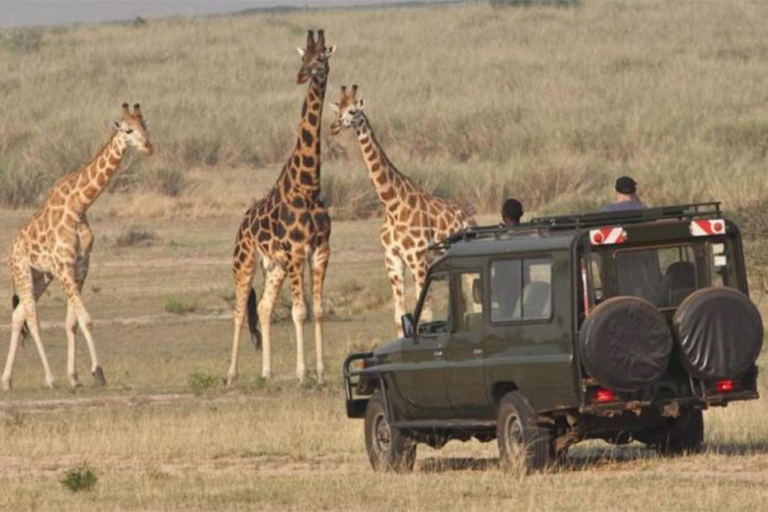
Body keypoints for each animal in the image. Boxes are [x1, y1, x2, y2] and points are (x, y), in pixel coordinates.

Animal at [1, 104, 153, 392]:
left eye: (145, 126)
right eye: (128, 130)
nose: (149, 147)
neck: (79, 206)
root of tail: (12, 247)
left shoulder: (81, 266)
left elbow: (72, 322)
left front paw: (75, 377)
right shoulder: (63, 266)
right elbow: (86, 319)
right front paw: (98, 373)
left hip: (41, 276)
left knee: (17, 314)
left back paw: (6, 381)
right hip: (23, 271)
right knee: (32, 318)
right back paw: (49, 379)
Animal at [228, 29, 336, 384]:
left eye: (321, 58)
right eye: (303, 57)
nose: (301, 75)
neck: (309, 185)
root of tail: (242, 225)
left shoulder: (320, 251)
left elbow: (317, 311)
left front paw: (320, 373)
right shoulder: (297, 252)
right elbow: (299, 312)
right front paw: (303, 374)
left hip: (273, 266)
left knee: (262, 307)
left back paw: (267, 373)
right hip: (245, 262)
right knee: (239, 310)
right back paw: (231, 374)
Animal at [328, 85, 474, 334]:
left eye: (353, 111)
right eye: (338, 110)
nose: (334, 126)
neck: (392, 203)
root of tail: (470, 219)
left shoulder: (418, 259)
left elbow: (425, 314)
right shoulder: (392, 260)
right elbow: (399, 316)